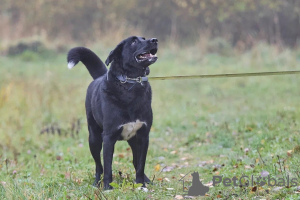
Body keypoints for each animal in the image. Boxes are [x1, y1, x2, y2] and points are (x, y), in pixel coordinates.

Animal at [66, 36, 158, 189]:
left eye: (144, 38)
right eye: (134, 41)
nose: (155, 40)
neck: (131, 82)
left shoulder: (143, 136)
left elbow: (141, 164)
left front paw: (141, 185)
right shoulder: (108, 137)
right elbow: (108, 166)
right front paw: (107, 188)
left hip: (133, 140)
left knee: (135, 161)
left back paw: (146, 180)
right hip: (94, 139)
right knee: (99, 165)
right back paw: (97, 183)